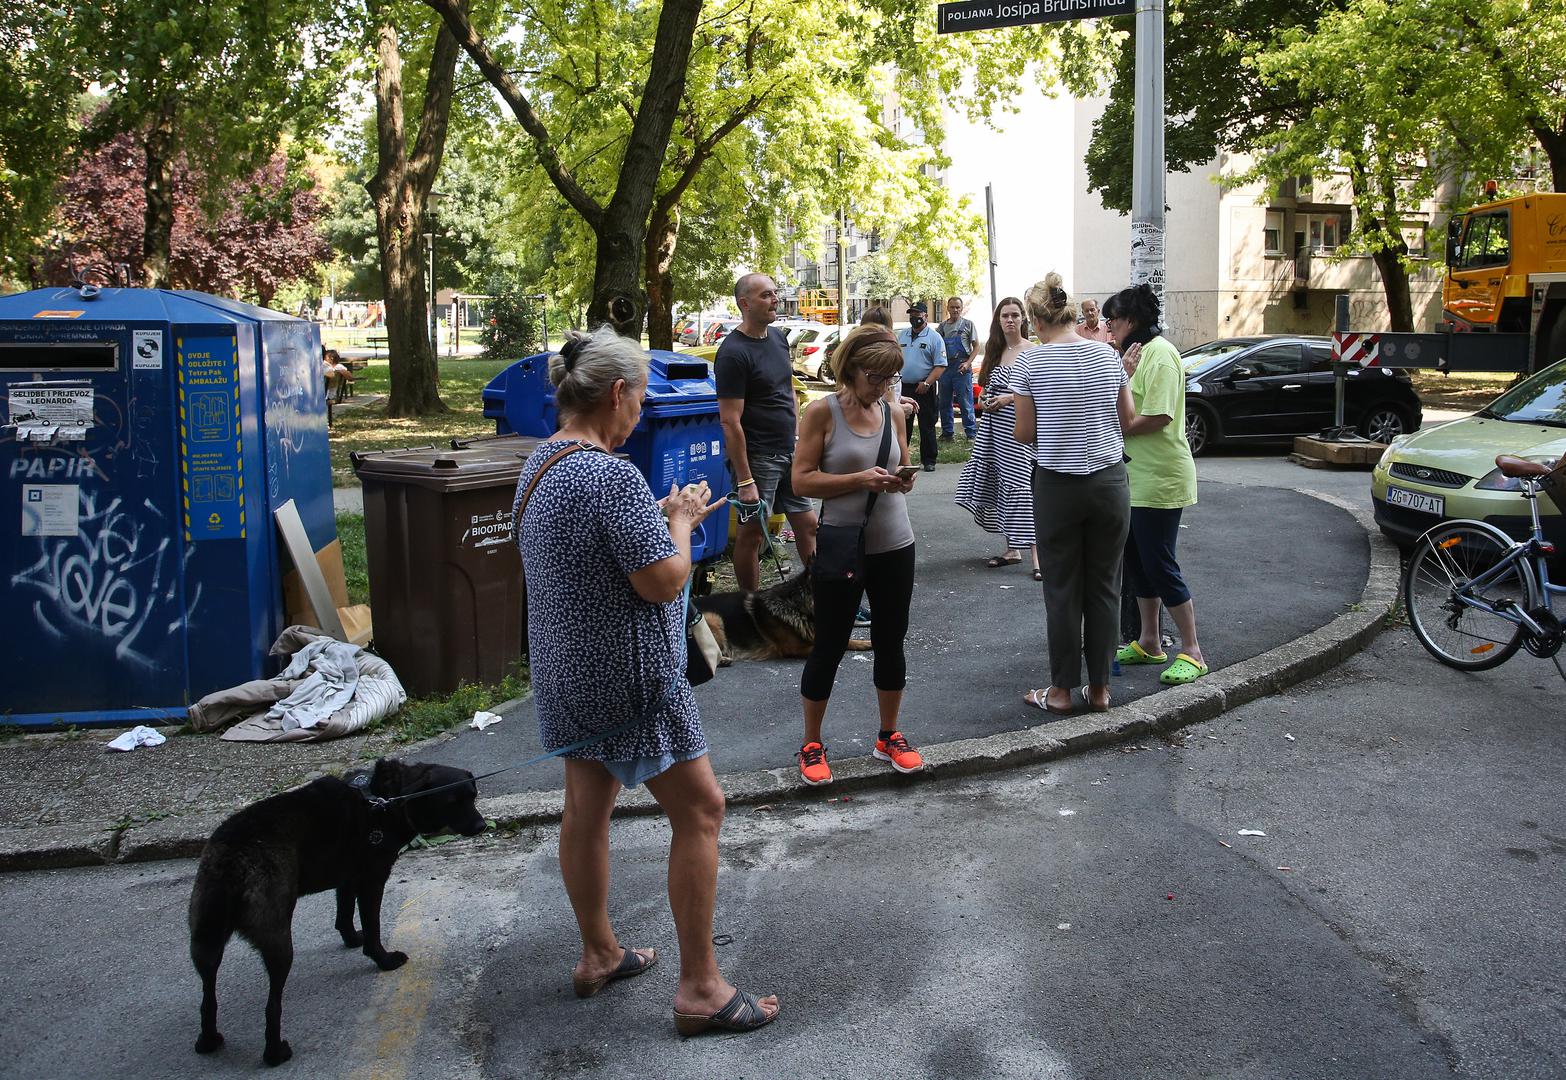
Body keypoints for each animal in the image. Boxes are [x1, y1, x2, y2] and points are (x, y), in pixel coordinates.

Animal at [189, 754, 485, 1064]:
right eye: (452, 801)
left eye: (473, 796)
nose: (481, 826)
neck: (386, 797)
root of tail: (233, 858)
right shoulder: (371, 879)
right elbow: (372, 927)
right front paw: (383, 959)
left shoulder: (348, 876)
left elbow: (343, 913)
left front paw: (352, 939)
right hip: (277, 940)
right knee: (272, 1004)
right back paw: (275, 1052)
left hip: (205, 939)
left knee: (207, 995)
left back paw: (208, 1040)